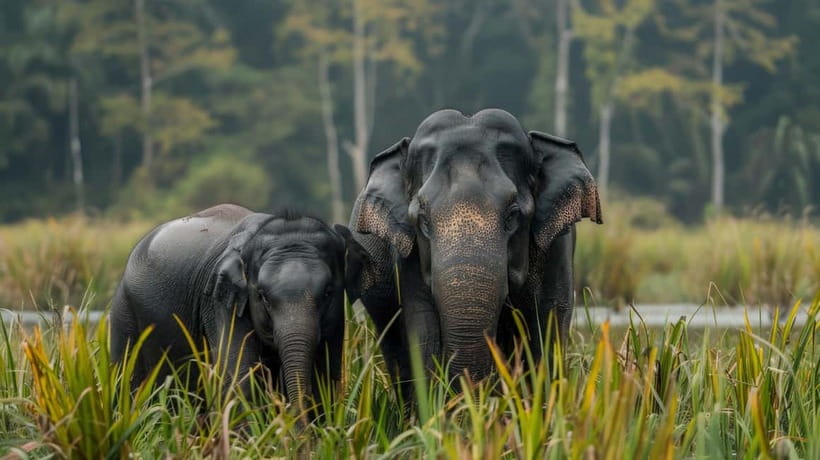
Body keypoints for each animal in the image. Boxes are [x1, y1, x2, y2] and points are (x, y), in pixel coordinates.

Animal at [109, 204, 347, 414]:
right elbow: (238, 377)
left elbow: (325, 378)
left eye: (328, 292)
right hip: (124, 311)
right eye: (262, 297)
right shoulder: (219, 301)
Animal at [343, 109, 602, 396]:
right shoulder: (407, 255)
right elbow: (422, 327)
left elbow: (546, 321)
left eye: (513, 215)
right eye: (422, 219)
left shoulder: (557, 247)